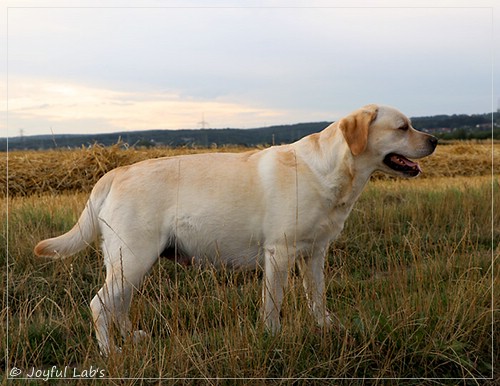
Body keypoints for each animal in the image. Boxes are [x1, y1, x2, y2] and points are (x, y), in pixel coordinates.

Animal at [33, 104, 436, 354]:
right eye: (403, 127)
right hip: (132, 259)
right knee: (100, 304)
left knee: (119, 306)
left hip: (130, 262)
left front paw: (325, 325)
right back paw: (111, 351)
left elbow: (317, 295)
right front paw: (273, 337)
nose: (434, 140)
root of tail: (114, 172)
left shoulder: (316, 252)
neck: (330, 171)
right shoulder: (279, 252)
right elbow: (273, 303)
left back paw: (133, 339)